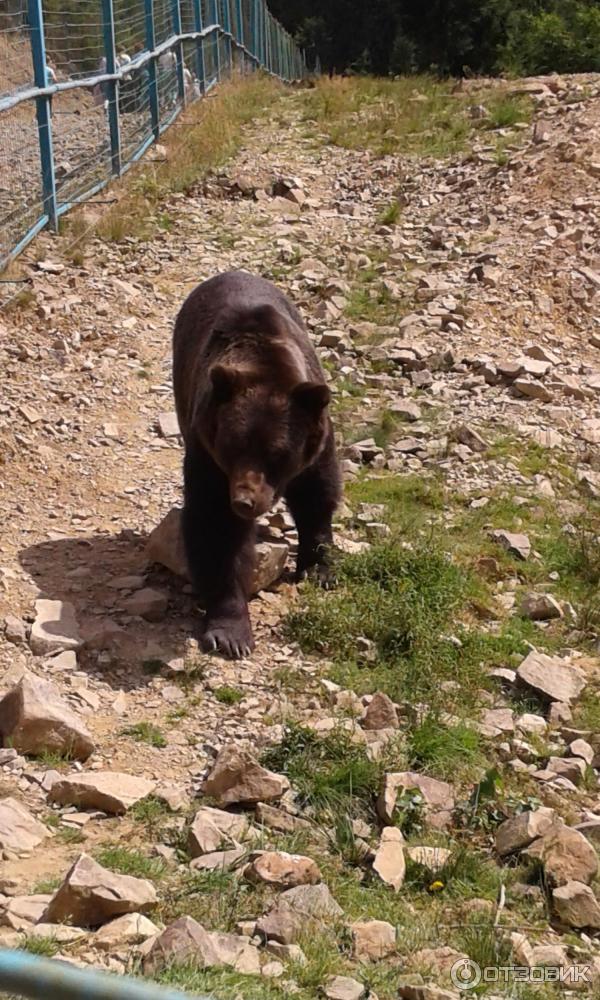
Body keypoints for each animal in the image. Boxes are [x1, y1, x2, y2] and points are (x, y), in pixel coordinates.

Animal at [173, 274, 342, 660]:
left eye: (277, 454)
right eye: (233, 446)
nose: (245, 501)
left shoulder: (315, 445)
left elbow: (317, 496)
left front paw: (319, 567)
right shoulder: (208, 455)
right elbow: (214, 525)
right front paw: (231, 634)